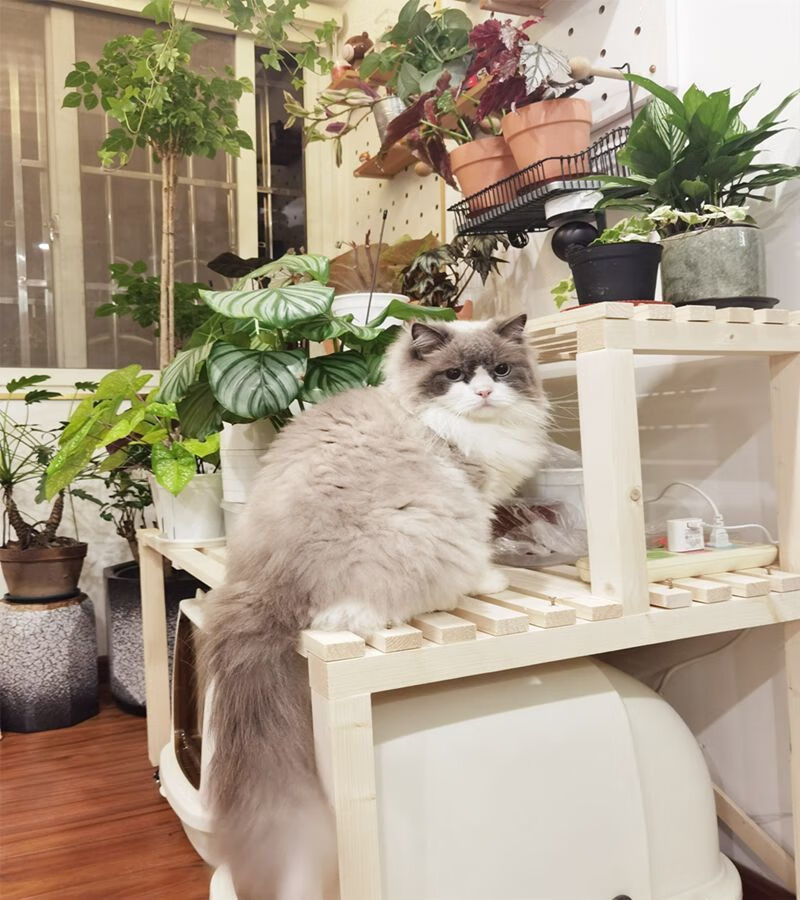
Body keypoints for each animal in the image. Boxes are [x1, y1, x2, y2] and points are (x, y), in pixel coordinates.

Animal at [202, 314, 550, 899]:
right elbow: (483, 548)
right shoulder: (474, 497)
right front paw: (492, 578)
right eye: (454, 375)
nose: (483, 392)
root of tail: (266, 581)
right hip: (425, 530)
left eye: (501, 371)